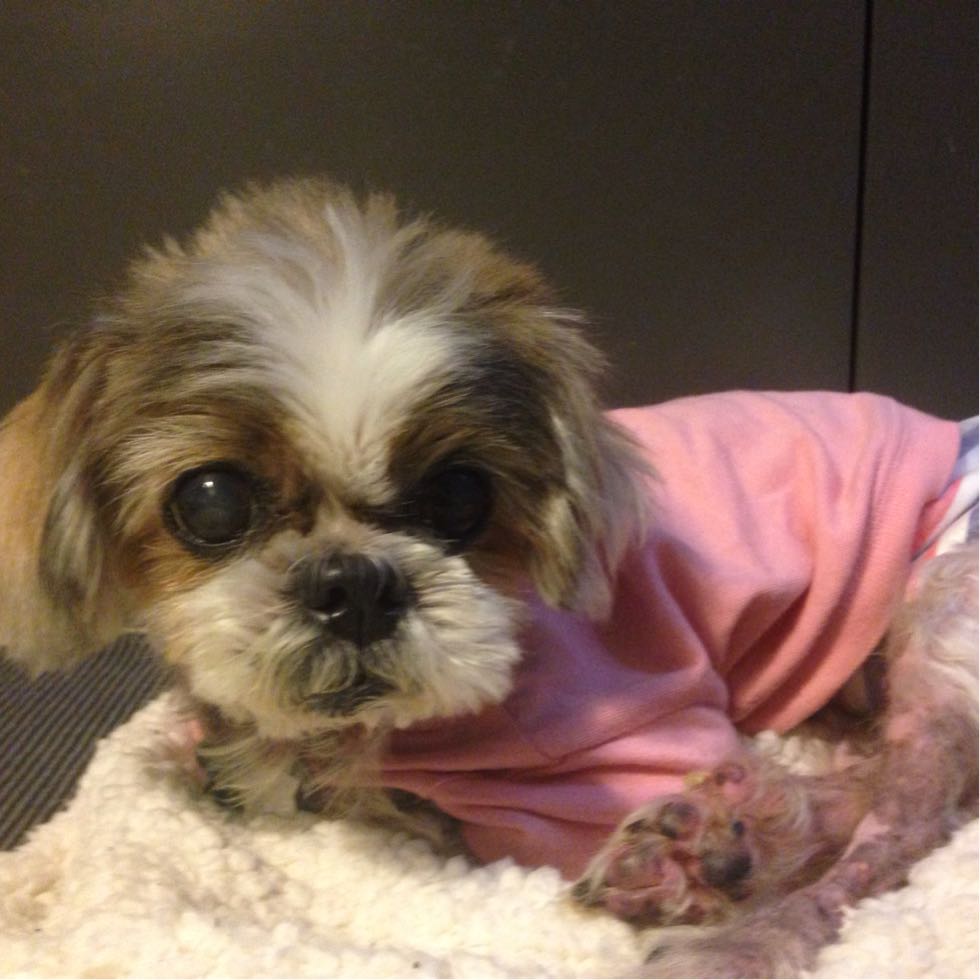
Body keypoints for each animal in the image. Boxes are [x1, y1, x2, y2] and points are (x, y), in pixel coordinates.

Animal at [0, 176, 976, 977]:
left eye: (462, 494)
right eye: (209, 501)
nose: (356, 587)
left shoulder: (616, 762)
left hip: (940, 610)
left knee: (905, 825)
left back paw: (738, 915)